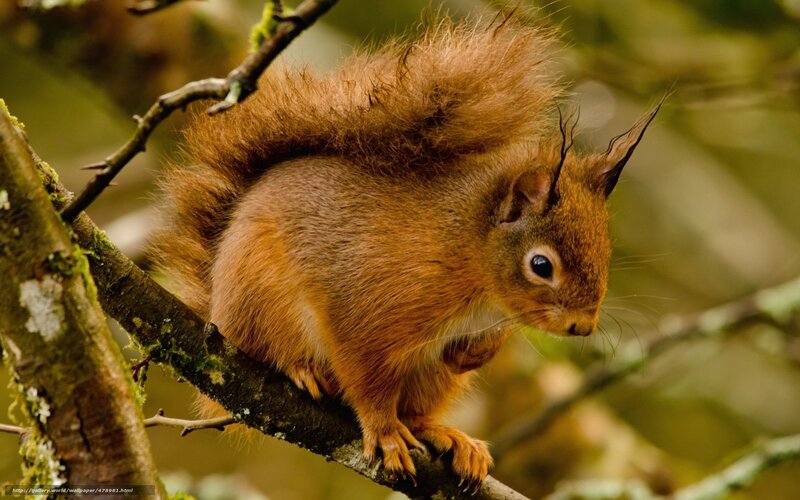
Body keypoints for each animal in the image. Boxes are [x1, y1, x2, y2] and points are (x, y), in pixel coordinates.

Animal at [150, 14, 659, 488]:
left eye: (606, 252)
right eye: (541, 265)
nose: (582, 326)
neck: (470, 257)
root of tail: (217, 305)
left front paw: (475, 354)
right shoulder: (371, 308)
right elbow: (367, 380)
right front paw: (384, 433)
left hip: (431, 379)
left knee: (418, 408)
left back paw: (449, 436)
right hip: (259, 299)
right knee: (270, 346)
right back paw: (302, 369)